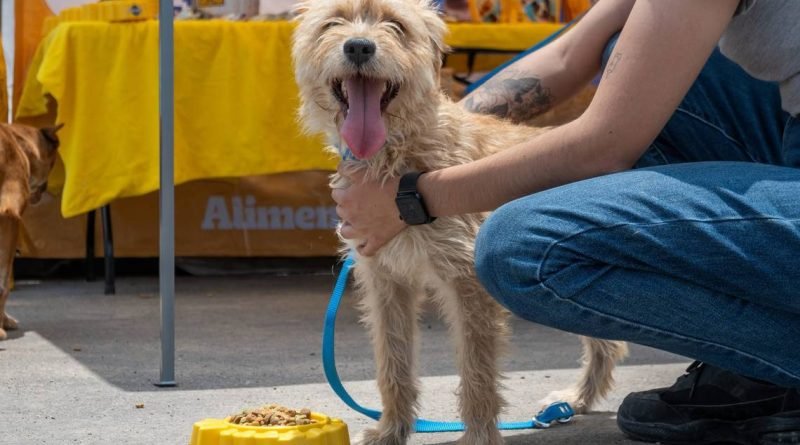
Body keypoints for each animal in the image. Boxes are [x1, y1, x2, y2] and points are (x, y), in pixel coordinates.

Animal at [292, 1, 624, 442]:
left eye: (396, 26)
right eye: (333, 23)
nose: (359, 46)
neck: (396, 158)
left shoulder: (467, 281)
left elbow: (476, 370)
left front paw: (479, 434)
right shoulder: (386, 281)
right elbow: (393, 361)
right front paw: (392, 428)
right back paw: (578, 399)